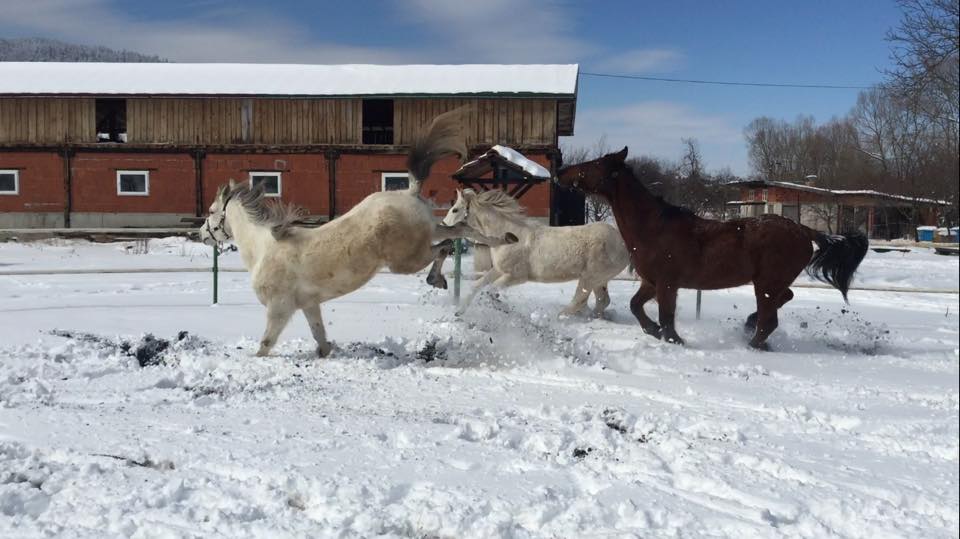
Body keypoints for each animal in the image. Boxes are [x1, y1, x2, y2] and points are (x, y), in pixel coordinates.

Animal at [199, 111, 516, 356]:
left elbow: (265, 345)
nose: (203, 234)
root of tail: (409, 192)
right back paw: (506, 238)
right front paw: (324, 353)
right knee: (461, 230)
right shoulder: (309, 305)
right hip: (430, 229)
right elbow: (320, 339)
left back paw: (436, 279)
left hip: (406, 259)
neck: (264, 249)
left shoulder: (279, 309)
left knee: (445, 245)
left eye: (212, 211)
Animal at [440, 189, 632, 318]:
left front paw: (500, 307)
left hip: (590, 277)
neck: (510, 237)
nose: (443, 226)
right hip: (600, 280)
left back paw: (559, 318)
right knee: (602, 301)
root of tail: (623, 244)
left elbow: (490, 290)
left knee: (579, 300)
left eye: (455, 209)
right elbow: (478, 286)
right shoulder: (499, 270)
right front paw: (459, 312)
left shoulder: (516, 276)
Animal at [556, 148, 872, 350]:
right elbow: (636, 306)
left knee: (769, 321)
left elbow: (666, 317)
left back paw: (751, 343)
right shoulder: (651, 282)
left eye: (592, 164)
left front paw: (674, 340)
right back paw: (749, 325)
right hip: (771, 284)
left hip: (766, 285)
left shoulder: (667, 284)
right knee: (780, 305)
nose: (560, 171)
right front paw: (654, 332)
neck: (654, 228)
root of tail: (804, 230)